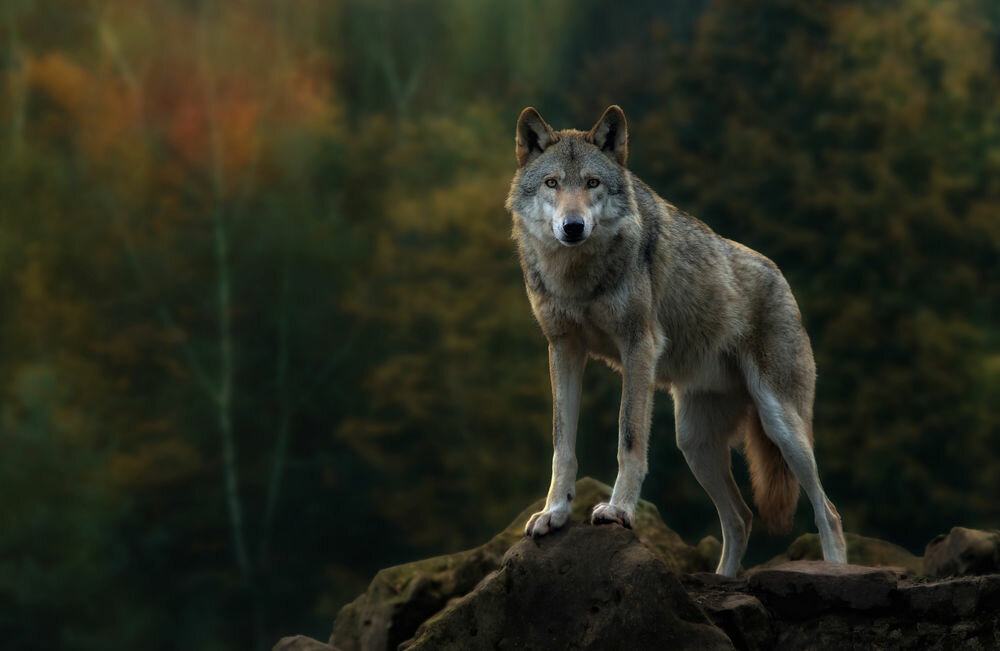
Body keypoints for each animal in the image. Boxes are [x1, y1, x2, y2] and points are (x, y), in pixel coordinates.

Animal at [505, 106, 847, 576]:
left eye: (592, 183)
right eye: (552, 183)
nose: (572, 227)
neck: (577, 277)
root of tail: (781, 278)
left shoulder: (639, 348)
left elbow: (629, 439)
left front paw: (618, 510)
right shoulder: (563, 350)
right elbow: (563, 445)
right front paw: (554, 513)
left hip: (782, 426)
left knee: (827, 511)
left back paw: (837, 571)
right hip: (693, 441)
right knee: (740, 517)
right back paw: (723, 578)